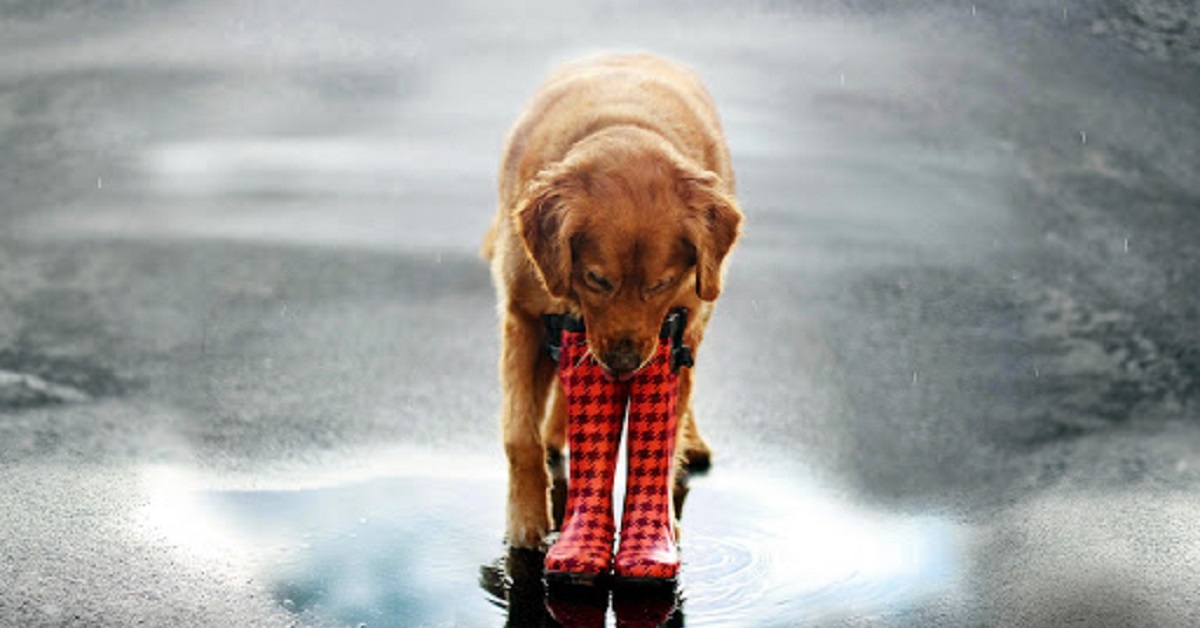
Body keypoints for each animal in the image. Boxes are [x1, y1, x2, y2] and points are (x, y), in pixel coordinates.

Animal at [480, 52, 739, 549]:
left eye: (661, 283)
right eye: (597, 279)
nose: (622, 365)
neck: (624, 125)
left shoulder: (681, 326)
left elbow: (665, 440)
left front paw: (660, 527)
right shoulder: (523, 317)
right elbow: (519, 434)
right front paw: (525, 522)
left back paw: (693, 443)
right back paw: (557, 433)